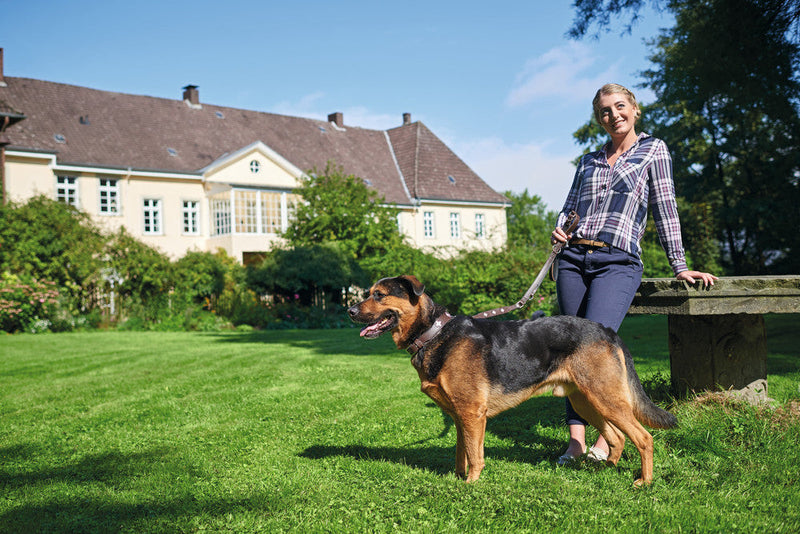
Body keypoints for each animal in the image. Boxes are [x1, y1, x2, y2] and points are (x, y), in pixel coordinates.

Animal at [346, 274, 680, 488]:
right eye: (368, 292)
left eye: (379, 295)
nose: (349, 310)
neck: (434, 333)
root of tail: (608, 331)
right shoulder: (460, 416)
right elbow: (461, 453)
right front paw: (457, 480)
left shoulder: (472, 414)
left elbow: (475, 455)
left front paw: (470, 486)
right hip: (586, 402)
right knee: (617, 438)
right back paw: (606, 471)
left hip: (607, 399)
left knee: (643, 438)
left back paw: (644, 481)